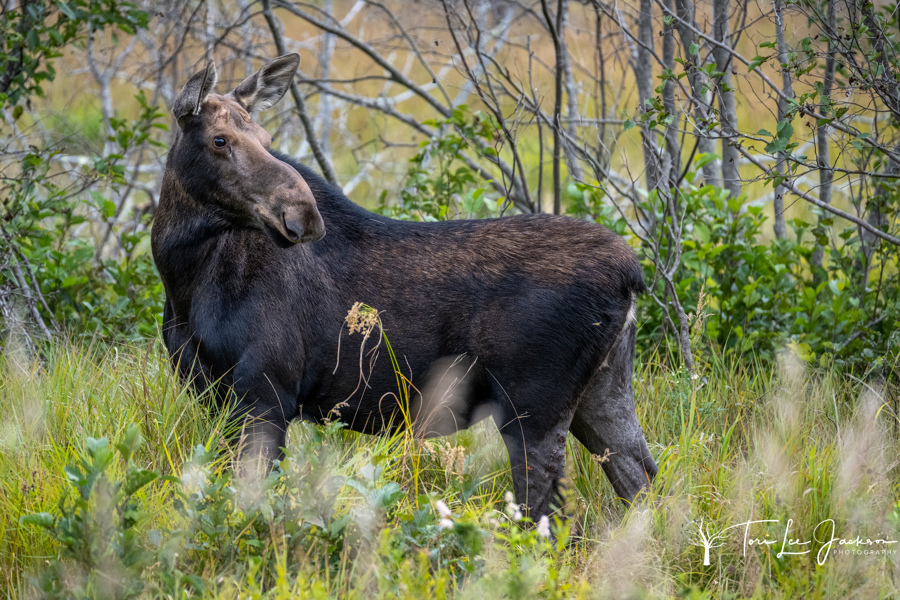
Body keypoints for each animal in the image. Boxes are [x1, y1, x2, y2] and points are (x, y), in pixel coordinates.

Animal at [155, 54, 656, 516]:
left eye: (267, 140)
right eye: (219, 139)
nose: (303, 215)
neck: (183, 278)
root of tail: (631, 276)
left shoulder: (266, 392)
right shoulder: (214, 394)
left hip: (533, 407)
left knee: (546, 506)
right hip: (602, 391)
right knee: (641, 477)